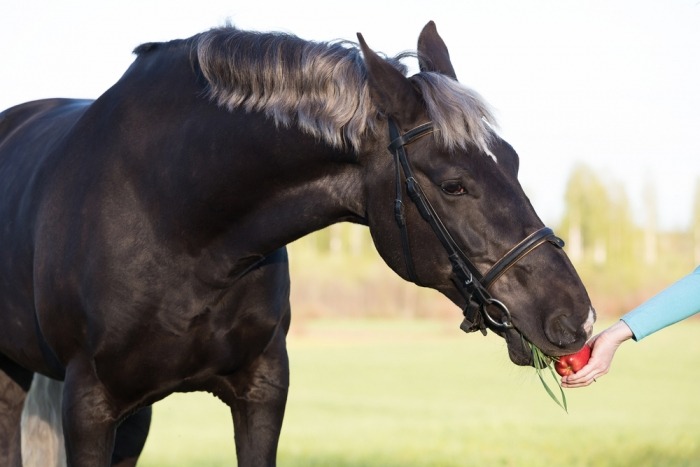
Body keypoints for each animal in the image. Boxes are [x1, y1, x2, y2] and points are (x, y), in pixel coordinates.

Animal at [0, 21, 595, 466]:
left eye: (512, 160)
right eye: (454, 184)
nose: (577, 319)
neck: (174, 217)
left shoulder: (262, 393)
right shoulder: (89, 408)